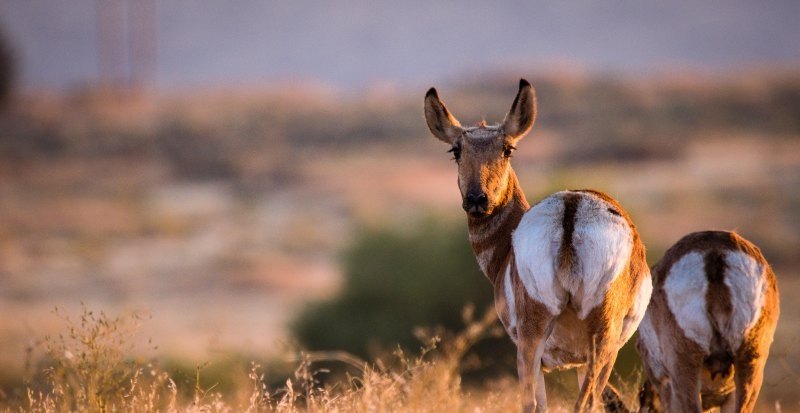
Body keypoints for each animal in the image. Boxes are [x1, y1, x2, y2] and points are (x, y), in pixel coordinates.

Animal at [422, 79, 652, 410]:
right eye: (456, 150)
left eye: (507, 149)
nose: (477, 200)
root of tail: (571, 209)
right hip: (593, 343)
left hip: (546, 343)